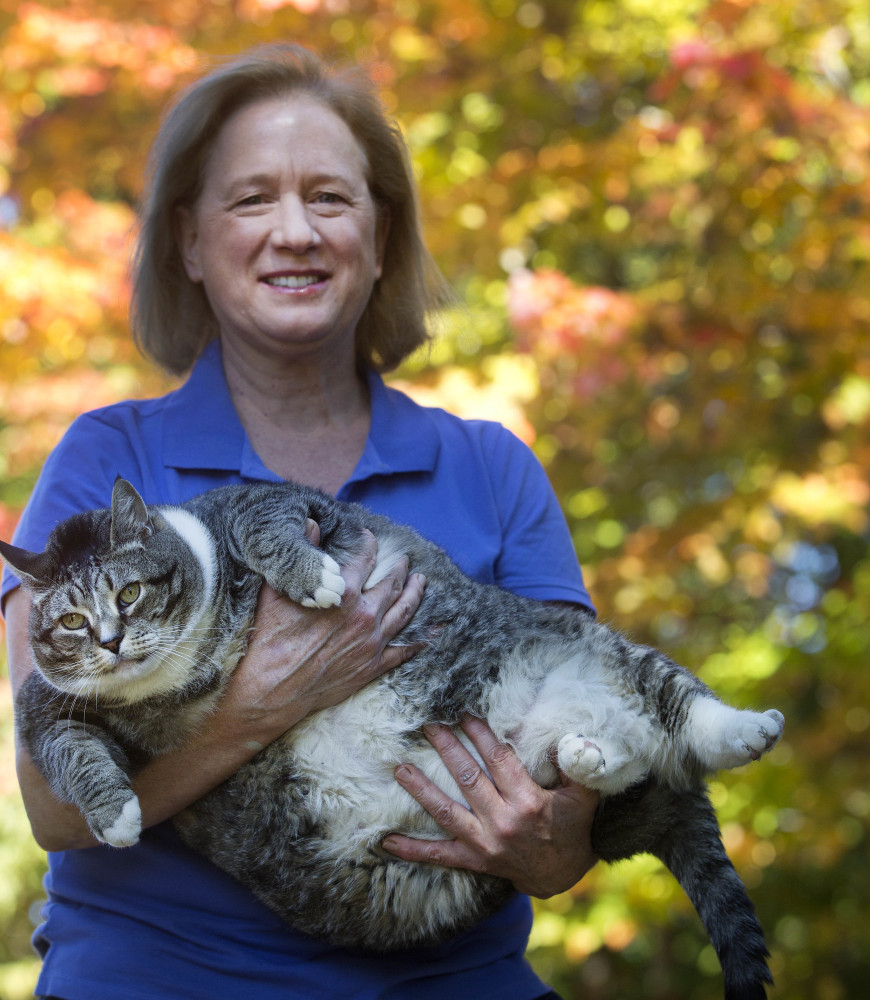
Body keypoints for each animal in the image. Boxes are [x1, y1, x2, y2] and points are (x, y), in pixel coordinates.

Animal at [1, 480, 784, 996]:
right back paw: (583, 755)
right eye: (71, 621)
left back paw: (747, 730)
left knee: (678, 707)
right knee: (613, 768)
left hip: (598, 651)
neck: (188, 667)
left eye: (130, 593)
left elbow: (263, 520)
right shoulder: (44, 709)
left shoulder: (284, 504)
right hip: (597, 781)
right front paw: (115, 816)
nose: (110, 641)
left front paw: (311, 577)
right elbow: (68, 755)